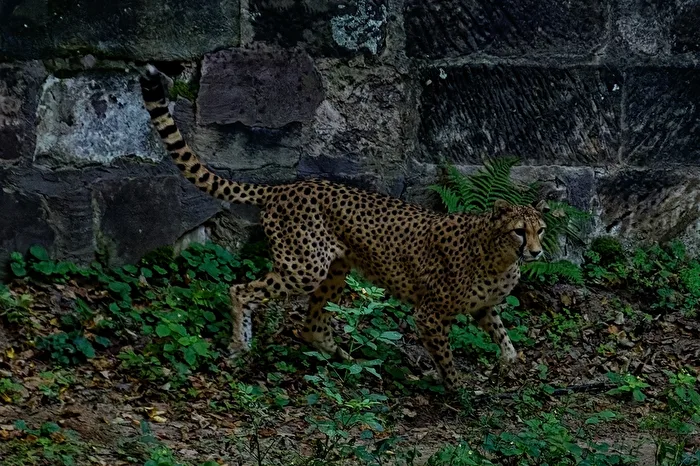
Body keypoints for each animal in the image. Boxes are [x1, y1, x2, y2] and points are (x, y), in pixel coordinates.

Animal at [139, 65, 548, 390]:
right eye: (519, 230)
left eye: (539, 230)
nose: (536, 251)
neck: (498, 257)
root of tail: (286, 186)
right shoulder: (429, 314)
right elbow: (445, 356)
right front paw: (457, 387)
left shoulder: (484, 308)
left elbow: (503, 335)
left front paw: (510, 362)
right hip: (305, 267)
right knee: (241, 290)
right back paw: (241, 345)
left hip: (334, 269)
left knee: (310, 325)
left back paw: (347, 360)